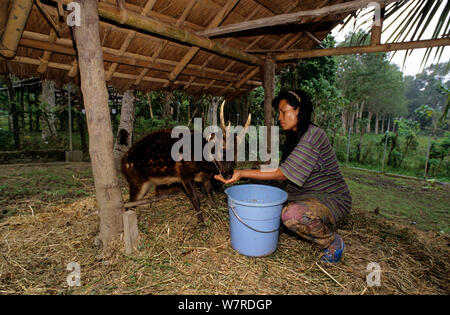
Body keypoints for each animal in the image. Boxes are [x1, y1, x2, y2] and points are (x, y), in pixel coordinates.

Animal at [121, 102, 251, 225]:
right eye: (221, 151)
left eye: (235, 156)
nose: (228, 175)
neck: (200, 163)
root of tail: (123, 163)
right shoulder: (184, 174)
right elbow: (195, 198)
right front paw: (202, 223)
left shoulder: (203, 176)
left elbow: (210, 192)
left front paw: (215, 211)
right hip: (136, 180)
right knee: (129, 202)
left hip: (147, 184)